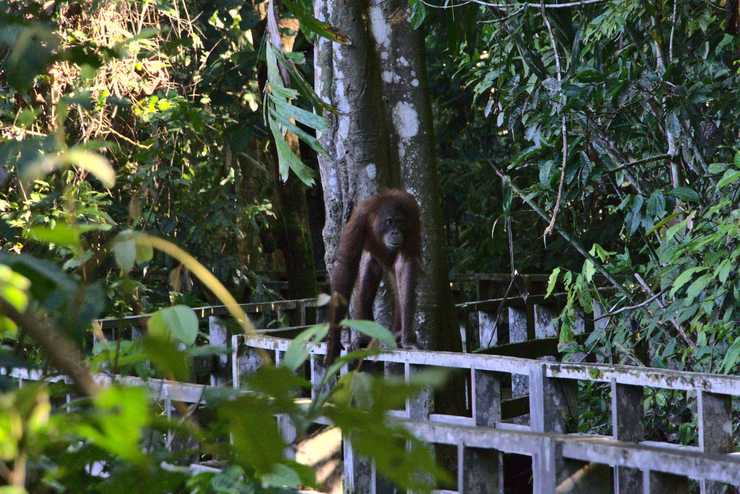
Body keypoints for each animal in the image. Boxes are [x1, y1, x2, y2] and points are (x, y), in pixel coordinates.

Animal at [324, 189, 422, 365]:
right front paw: (333, 342)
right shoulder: (358, 218)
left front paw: (408, 341)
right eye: (390, 222)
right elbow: (346, 266)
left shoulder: (413, 215)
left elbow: (406, 263)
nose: (395, 232)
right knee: (365, 285)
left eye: (400, 222)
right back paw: (364, 339)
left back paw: (397, 335)